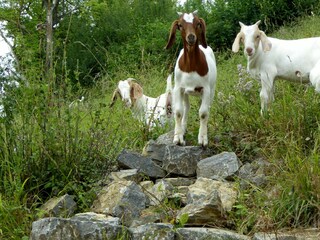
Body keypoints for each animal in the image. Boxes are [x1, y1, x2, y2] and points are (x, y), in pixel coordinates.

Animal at [165, 11, 218, 147]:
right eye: (180, 25)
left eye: (198, 23)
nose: (191, 37)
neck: (191, 67)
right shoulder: (178, 88)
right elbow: (179, 112)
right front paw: (178, 138)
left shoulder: (205, 89)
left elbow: (203, 113)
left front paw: (203, 139)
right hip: (185, 92)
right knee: (186, 108)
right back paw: (183, 128)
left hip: (211, 90)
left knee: (207, 107)